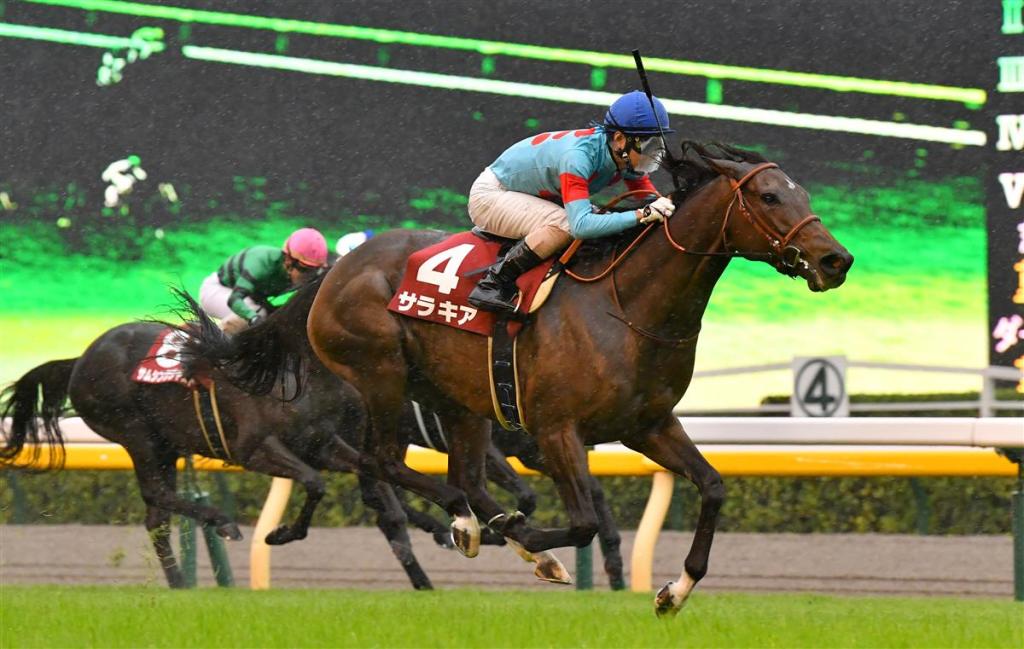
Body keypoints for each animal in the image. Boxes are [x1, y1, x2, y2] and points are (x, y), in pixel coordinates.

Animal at [185, 141, 853, 615]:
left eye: (799, 191)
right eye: (768, 196)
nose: (835, 259)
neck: (626, 306)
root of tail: (335, 273)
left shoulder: (647, 424)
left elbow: (712, 487)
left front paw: (673, 590)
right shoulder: (557, 430)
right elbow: (583, 522)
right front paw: (529, 537)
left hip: (456, 400)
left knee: (462, 477)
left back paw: (497, 533)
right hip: (380, 375)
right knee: (385, 463)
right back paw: (474, 526)